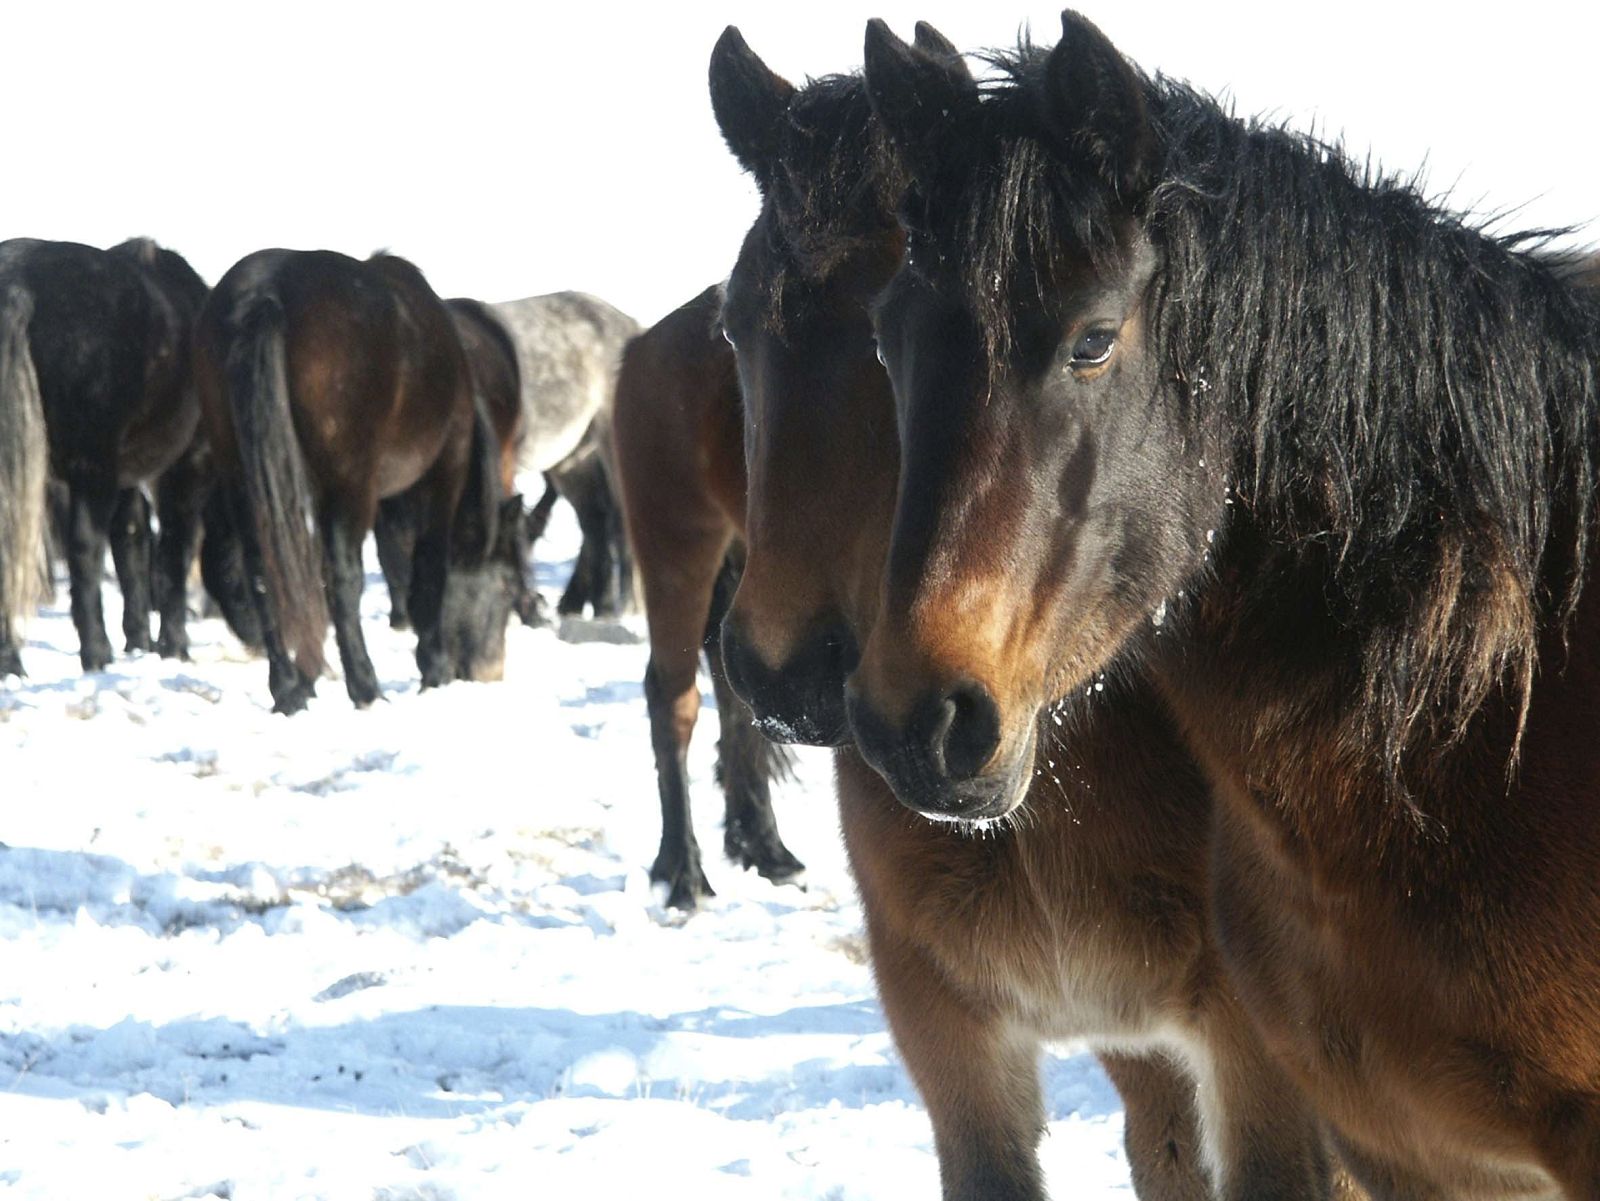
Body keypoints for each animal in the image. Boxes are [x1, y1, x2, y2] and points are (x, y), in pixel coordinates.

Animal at [0, 237, 212, 676]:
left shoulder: (126, 475)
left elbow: (132, 542)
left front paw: (140, 640)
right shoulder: (186, 467)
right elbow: (174, 550)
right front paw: (173, 646)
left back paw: (12, 662)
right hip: (92, 470)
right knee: (86, 553)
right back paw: (96, 652)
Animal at [195, 248, 511, 713]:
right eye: (507, 585)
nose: (488, 671)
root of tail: (265, 294)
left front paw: (308, 676)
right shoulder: (440, 479)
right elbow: (427, 569)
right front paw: (432, 668)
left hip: (248, 480)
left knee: (266, 575)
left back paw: (288, 689)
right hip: (349, 489)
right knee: (344, 582)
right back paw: (365, 687)